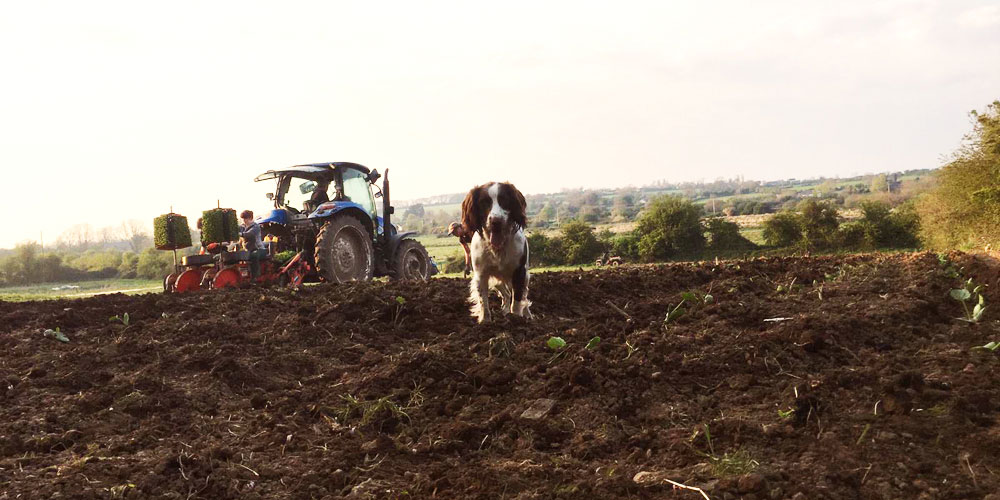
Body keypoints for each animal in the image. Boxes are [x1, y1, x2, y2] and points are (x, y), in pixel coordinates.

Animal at [458, 182, 532, 322]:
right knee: (506, 294)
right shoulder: (481, 274)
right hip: (498, 282)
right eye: (483, 202)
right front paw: (485, 321)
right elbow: (483, 301)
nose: (496, 221)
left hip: (524, 277)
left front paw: (516, 318)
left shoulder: (519, 272)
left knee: (523, 296)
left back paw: (527, 315)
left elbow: (517, 301)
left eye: (504, 200)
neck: (498, 248)